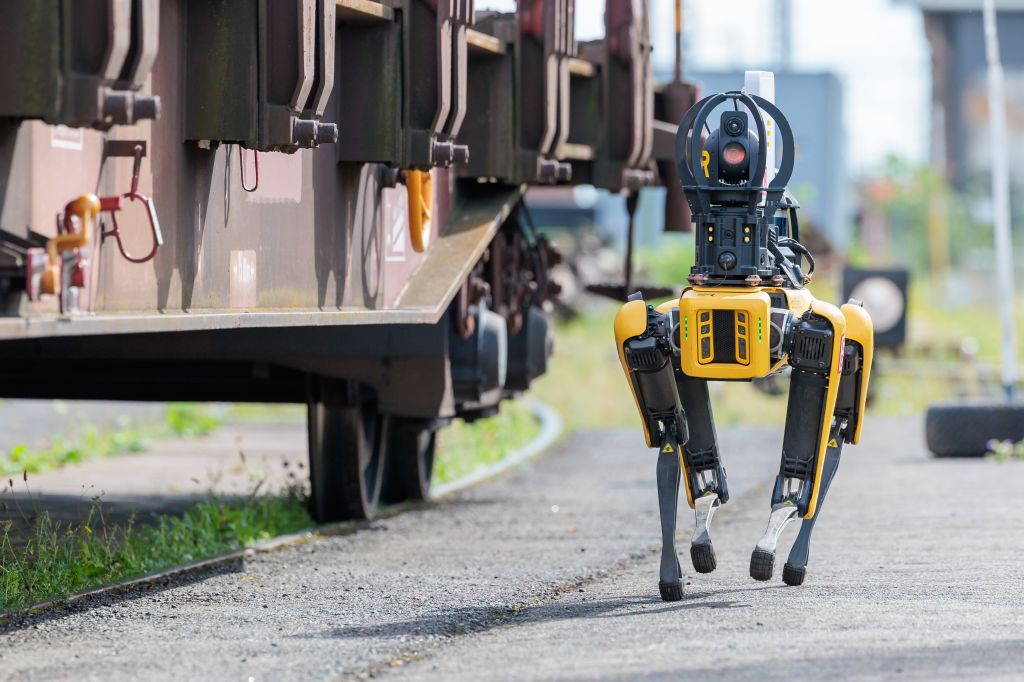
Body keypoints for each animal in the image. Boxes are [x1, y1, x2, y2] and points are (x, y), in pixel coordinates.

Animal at [610, 84, 876, 602]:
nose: (734, 129)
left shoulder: (826, 328)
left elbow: (827, 423)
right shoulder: (654, 325)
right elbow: (671, 428)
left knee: (824, 437)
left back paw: (776, 551)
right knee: (678, 438)